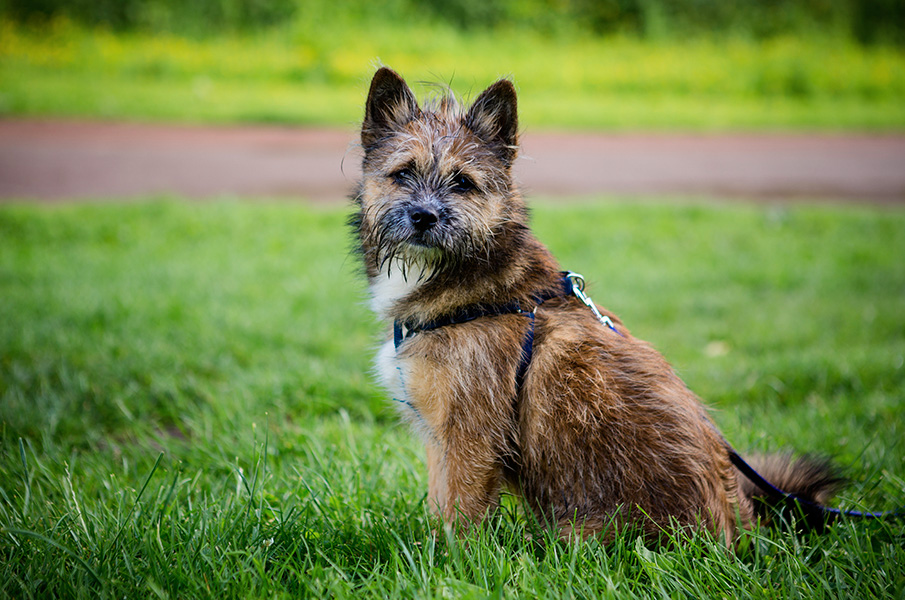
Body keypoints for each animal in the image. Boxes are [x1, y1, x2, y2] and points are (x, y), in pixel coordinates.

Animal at [352, 67, 840, 544]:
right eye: (403, 173)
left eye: (463, 183)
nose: (424, 216)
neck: (476, 282)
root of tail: (740, 535)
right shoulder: (443, 441)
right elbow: (440, 509)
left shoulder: (469, 438)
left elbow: (458, 521)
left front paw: (450, 561)